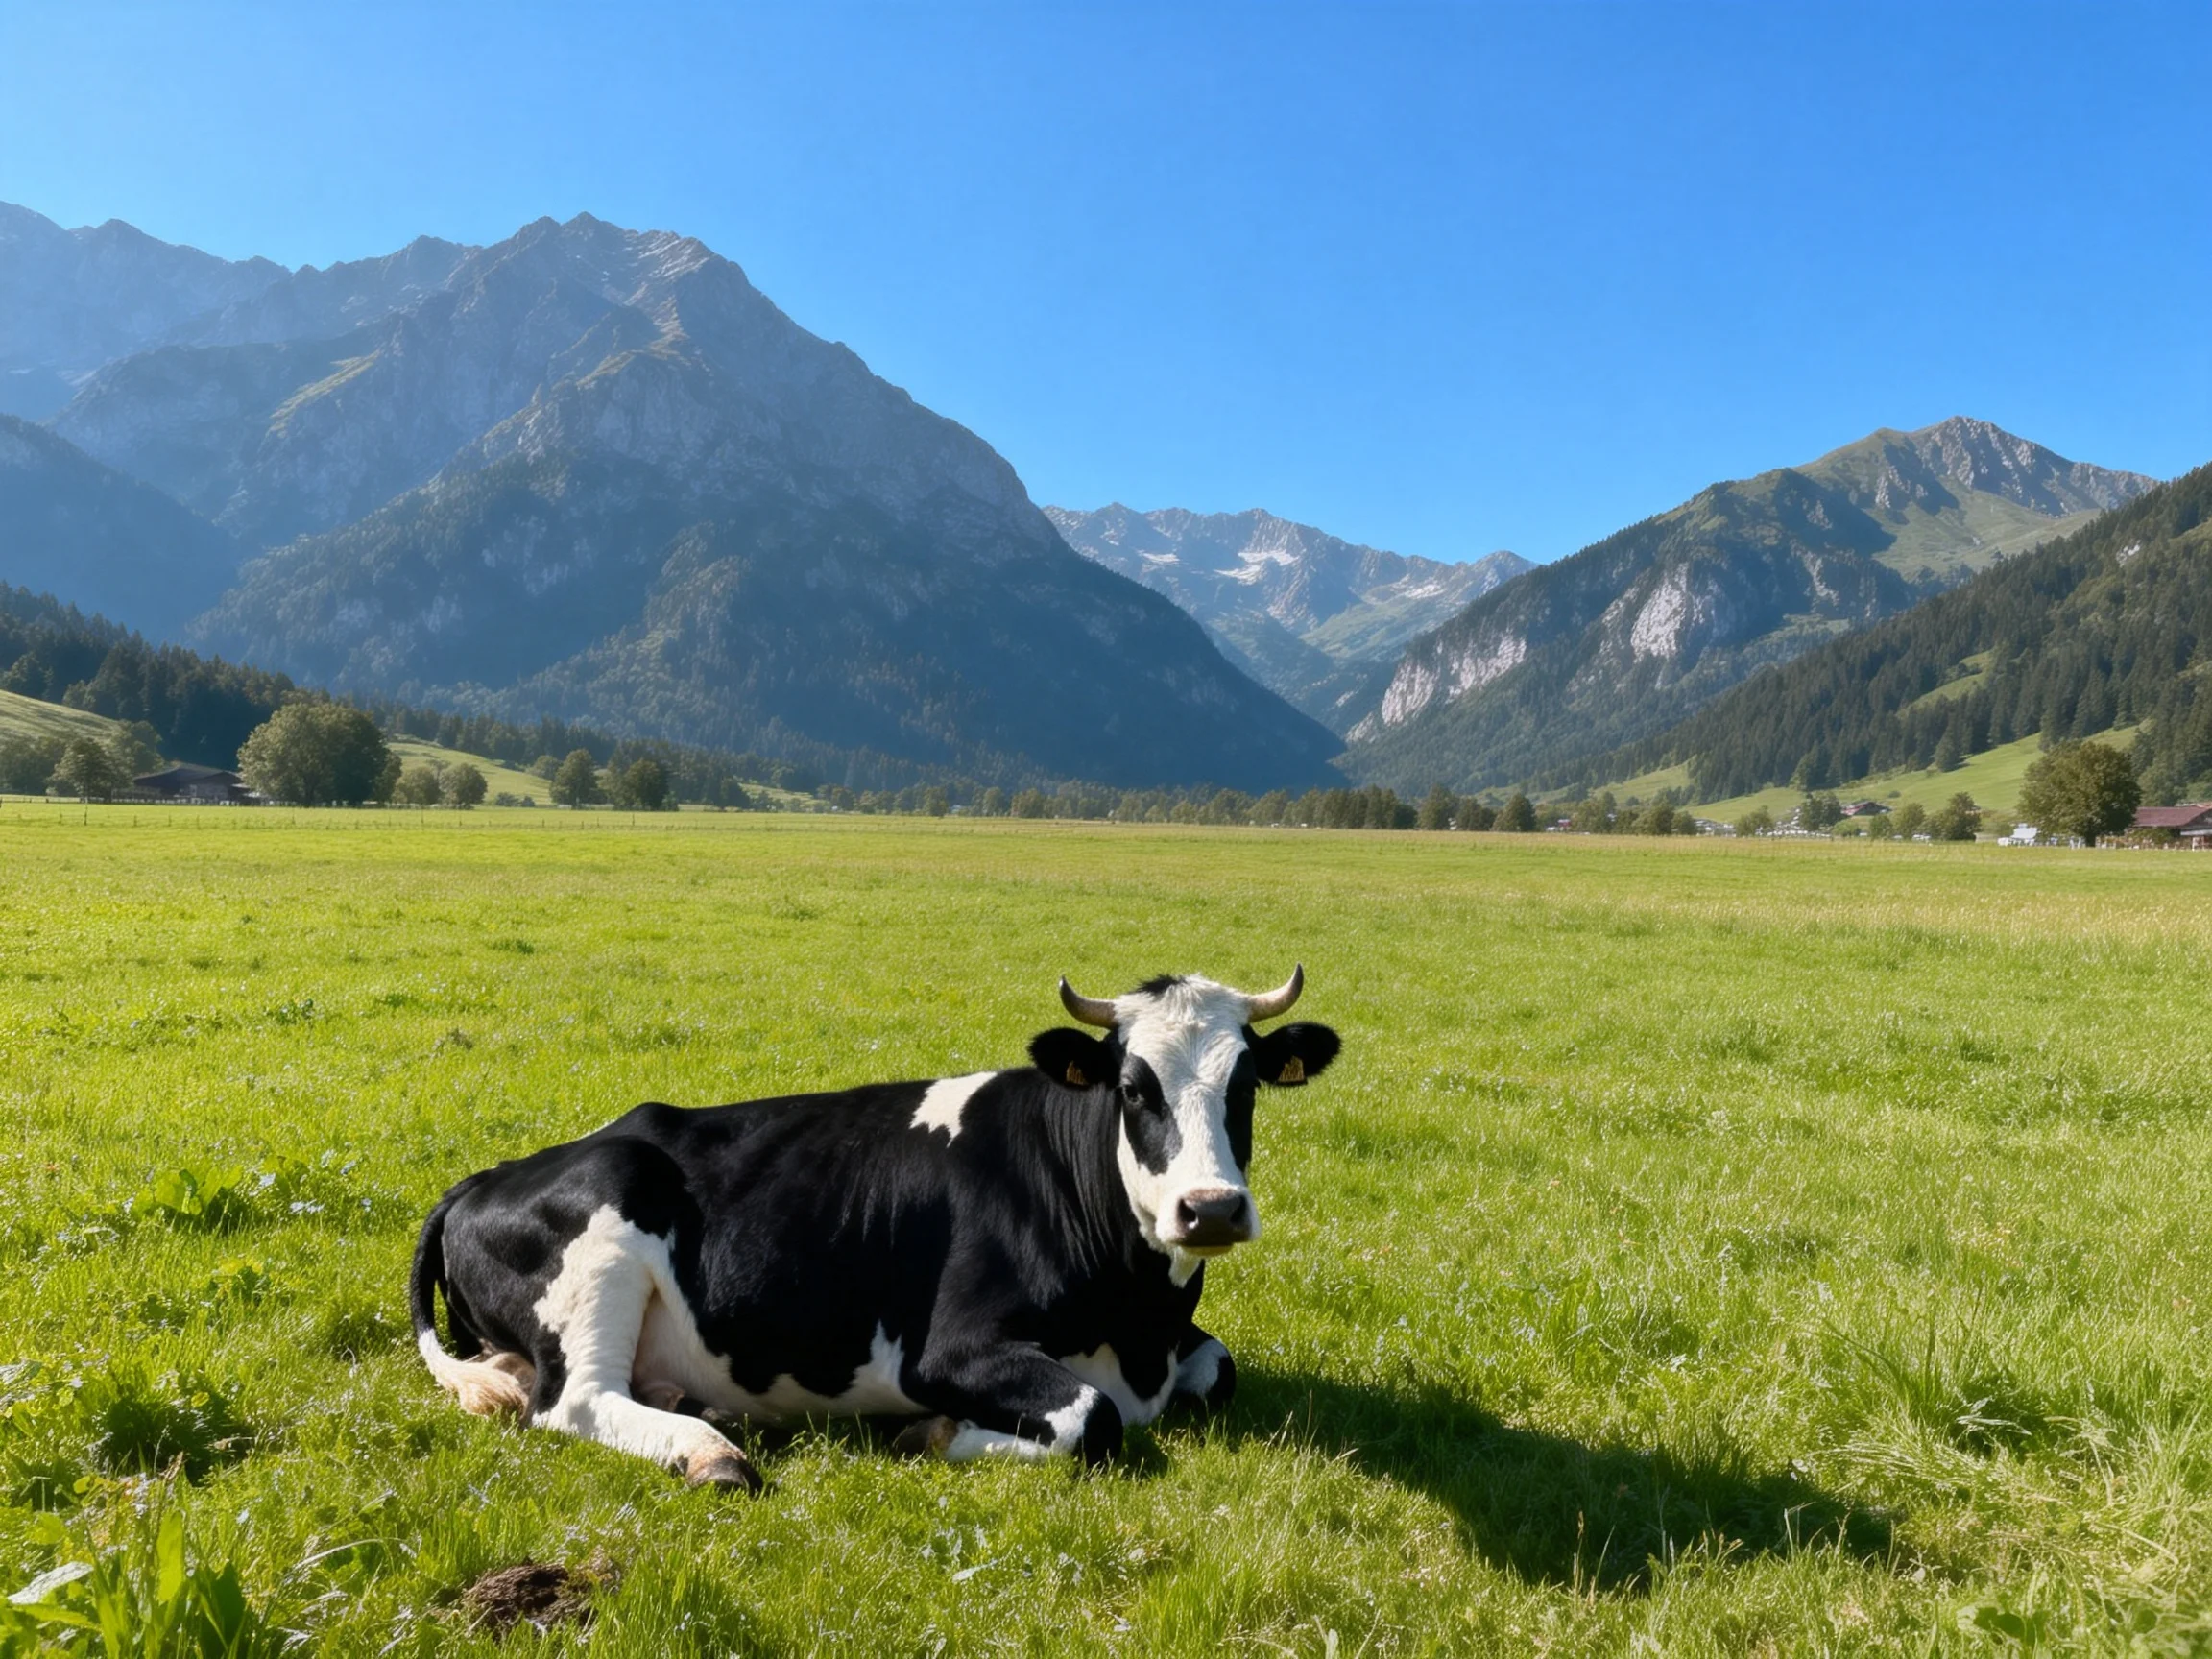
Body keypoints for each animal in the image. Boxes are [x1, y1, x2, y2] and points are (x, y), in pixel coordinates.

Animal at [408, 969, 1340, 1488]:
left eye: (1247, 1086)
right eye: (1134, 1088)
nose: (1210, 1208)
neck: (1141, 1325)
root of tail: (488, 1174)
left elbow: (1219, 1370)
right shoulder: (948, 1350)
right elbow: (1092, 1420)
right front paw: (930, 1432)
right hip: (610, 1214)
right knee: (574, 1402)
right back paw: (711, 1453)